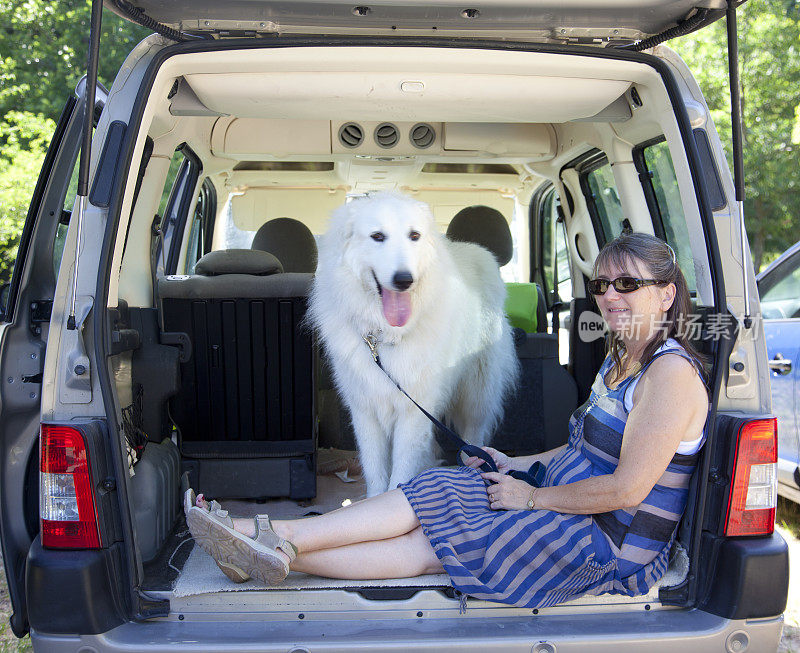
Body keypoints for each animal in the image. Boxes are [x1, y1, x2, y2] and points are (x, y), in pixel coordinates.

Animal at [306, 191, 520, 496]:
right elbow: (374, 468)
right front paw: (374, 500)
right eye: (377, 236)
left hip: (476, 392)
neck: (384, 337)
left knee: (474, 436)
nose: (404, 280)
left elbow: (401, 469)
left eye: (414, 236)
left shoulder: (413, 411)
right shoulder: (366, 410)